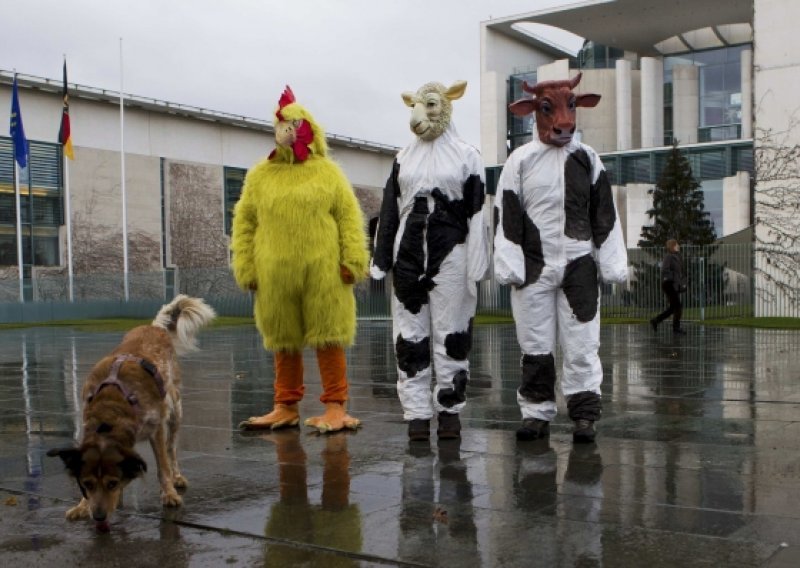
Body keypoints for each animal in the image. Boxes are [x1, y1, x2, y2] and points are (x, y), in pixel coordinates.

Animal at [47, 296, 216, 532]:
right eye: (87, 484)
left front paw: (169, 494)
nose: (98, 517)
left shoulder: (156, 428)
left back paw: (177, 477)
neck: (113, 403)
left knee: (172, 449)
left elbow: (162, 467)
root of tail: (154, 327)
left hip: (175, 411)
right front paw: (82, 506)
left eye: (112, 483)